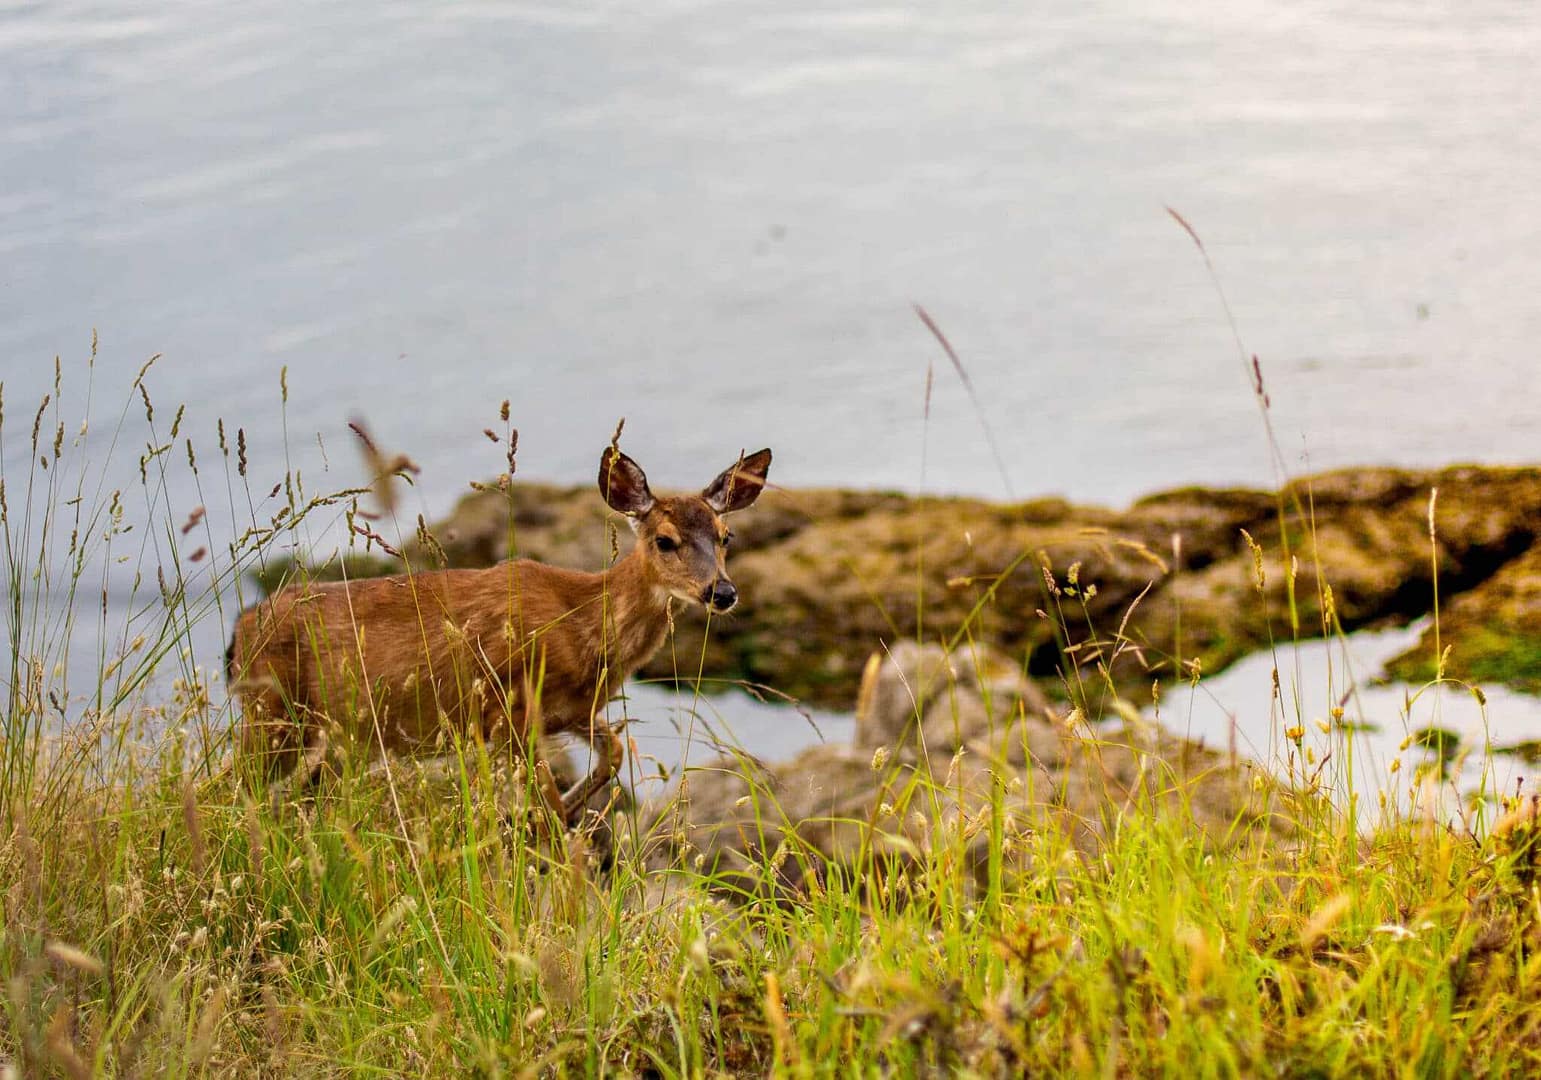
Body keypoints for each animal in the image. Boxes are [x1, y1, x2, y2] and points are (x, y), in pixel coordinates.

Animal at [227, 443, 772, 824]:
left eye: (726, 536)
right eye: (665, 540)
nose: (722, 592)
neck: (582, 623)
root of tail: (240, 632)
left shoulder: (572, 710)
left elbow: (614, 753)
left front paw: (566, 808)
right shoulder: (505, 711)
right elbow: (550, 813)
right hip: (273, 713)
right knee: (230, 787)